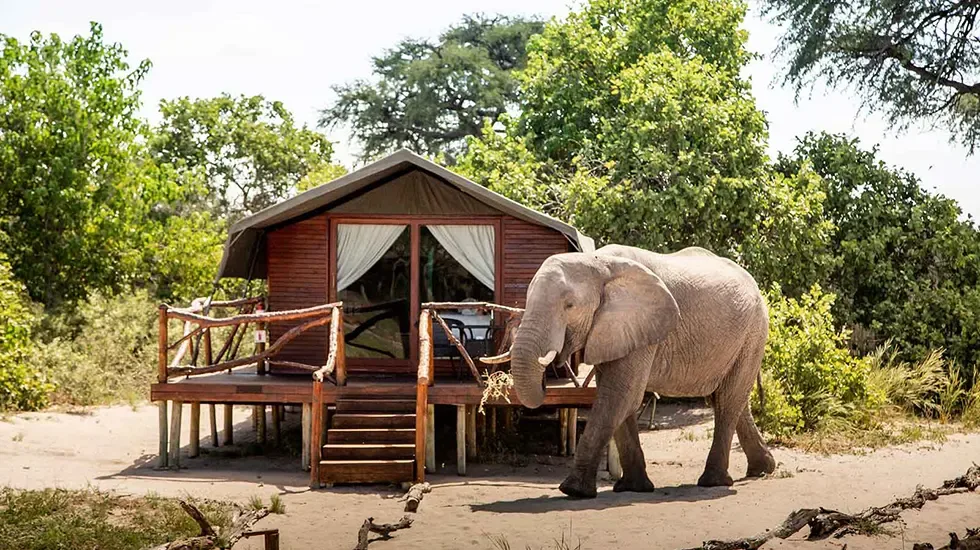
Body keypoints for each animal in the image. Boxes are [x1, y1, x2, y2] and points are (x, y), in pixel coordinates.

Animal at [488, 244, 776, 498]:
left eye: (569, 306)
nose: (550, 375)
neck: (598, 263)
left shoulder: (640, 327)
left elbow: (619, 396)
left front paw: (574, 491)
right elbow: (621, 400)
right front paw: (633, 488)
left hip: (754, 331)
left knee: (728, 399)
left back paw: (713, 482)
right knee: (729, 399)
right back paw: (763, 469)